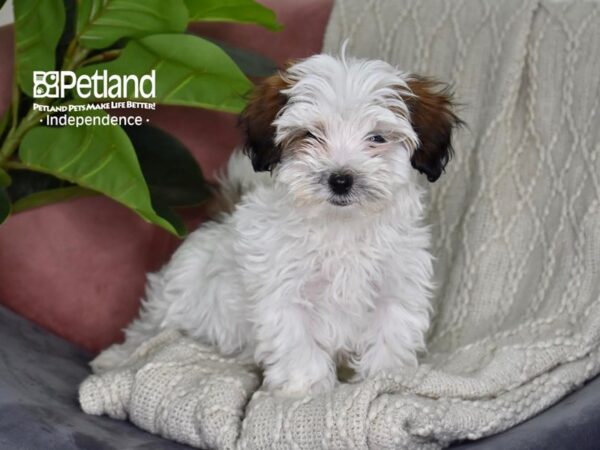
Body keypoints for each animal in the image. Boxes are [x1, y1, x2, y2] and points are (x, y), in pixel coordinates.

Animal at [91, 52, 462, 396]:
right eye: (310, 135)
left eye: (377, 138)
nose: (341, 180)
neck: (340, 227)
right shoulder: (285, 295)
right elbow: (299, 344)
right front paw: (306, 389)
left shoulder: (396, 289)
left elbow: (390, 335)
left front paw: (384, 379)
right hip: (178, 292)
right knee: (150, 324)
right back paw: (118, 357)